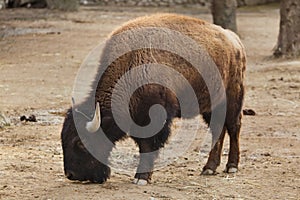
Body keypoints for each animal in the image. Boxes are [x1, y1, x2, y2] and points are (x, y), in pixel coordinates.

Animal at [61, 13, 246, 186]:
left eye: (81, 142)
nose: (71, 175)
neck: (130, 63)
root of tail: (233, 40)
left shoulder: (154, 119)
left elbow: (148, 146)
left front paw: (141, 178)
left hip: (232, 99)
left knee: (233, 127)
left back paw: (231, 166)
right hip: (211, 106)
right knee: (218, 129)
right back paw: (209, 168)